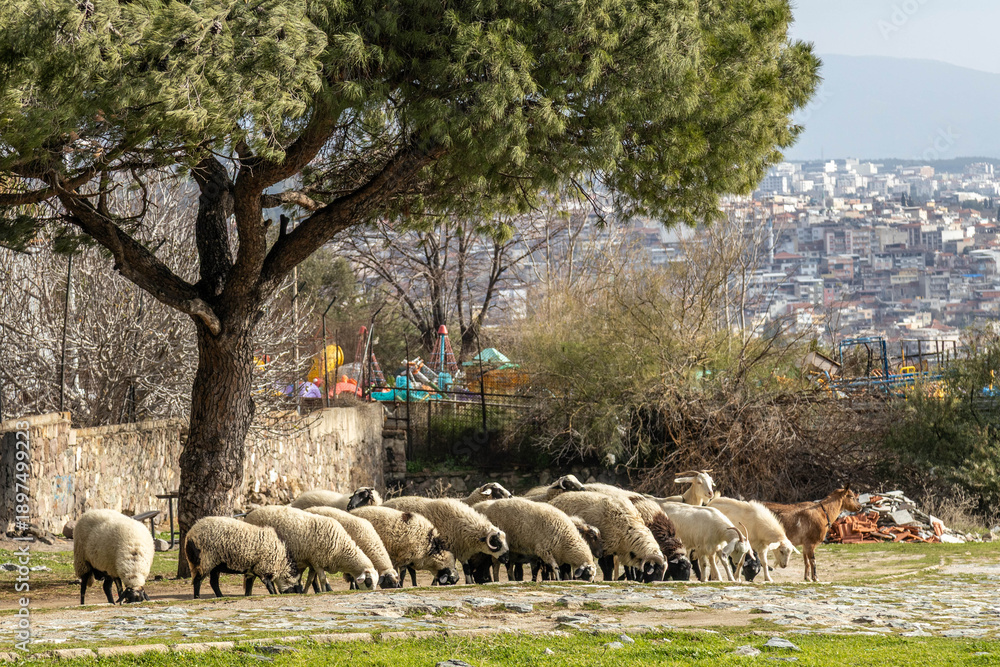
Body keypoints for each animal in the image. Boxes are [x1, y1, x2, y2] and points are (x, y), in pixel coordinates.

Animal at [244, 505, 377, 592]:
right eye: (368, 581)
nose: (371, 592)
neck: (341, 549)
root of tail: (250, 513)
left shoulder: (312, 562)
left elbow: (310, 579)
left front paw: (305, 591)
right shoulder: (317, 561)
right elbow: (322, 579)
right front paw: (324, 591)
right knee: (253, 576)